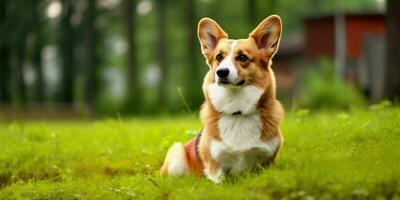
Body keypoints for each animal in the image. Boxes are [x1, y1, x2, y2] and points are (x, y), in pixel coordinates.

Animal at [159, 14, 284, 183]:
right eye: (219, 57)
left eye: (242, 57)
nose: (221, 72)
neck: (237, 111)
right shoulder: (216, 167)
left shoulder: (266, 161)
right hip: (177, 154)